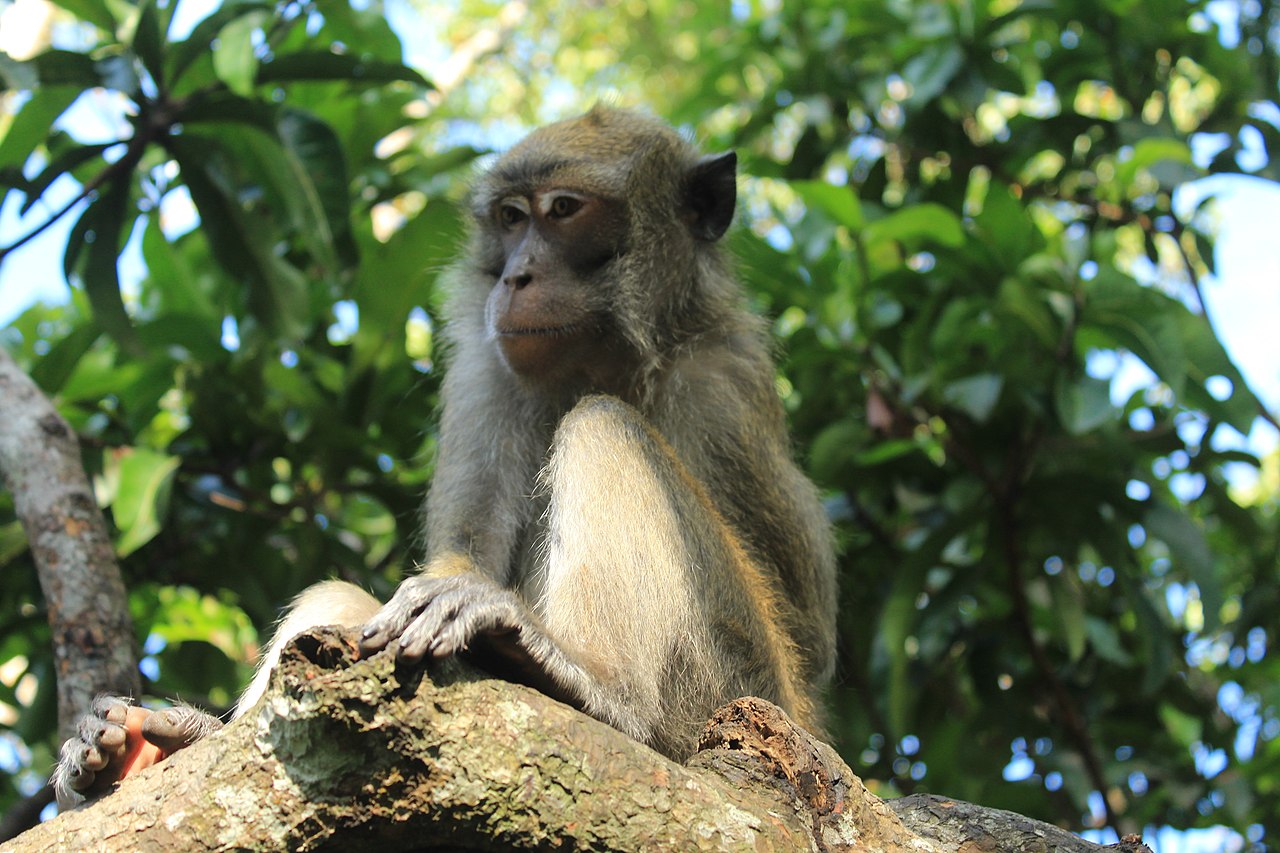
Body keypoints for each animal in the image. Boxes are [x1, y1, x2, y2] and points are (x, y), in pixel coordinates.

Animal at [55, 104, 839, 804]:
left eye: (563, 210)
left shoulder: (724, 381)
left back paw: (599, 686)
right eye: (512, 218)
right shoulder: (484, 375)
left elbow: (805, 633)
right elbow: (459, 554)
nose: (515, 278)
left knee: (605, 427)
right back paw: (150, 751)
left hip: (727, 689)